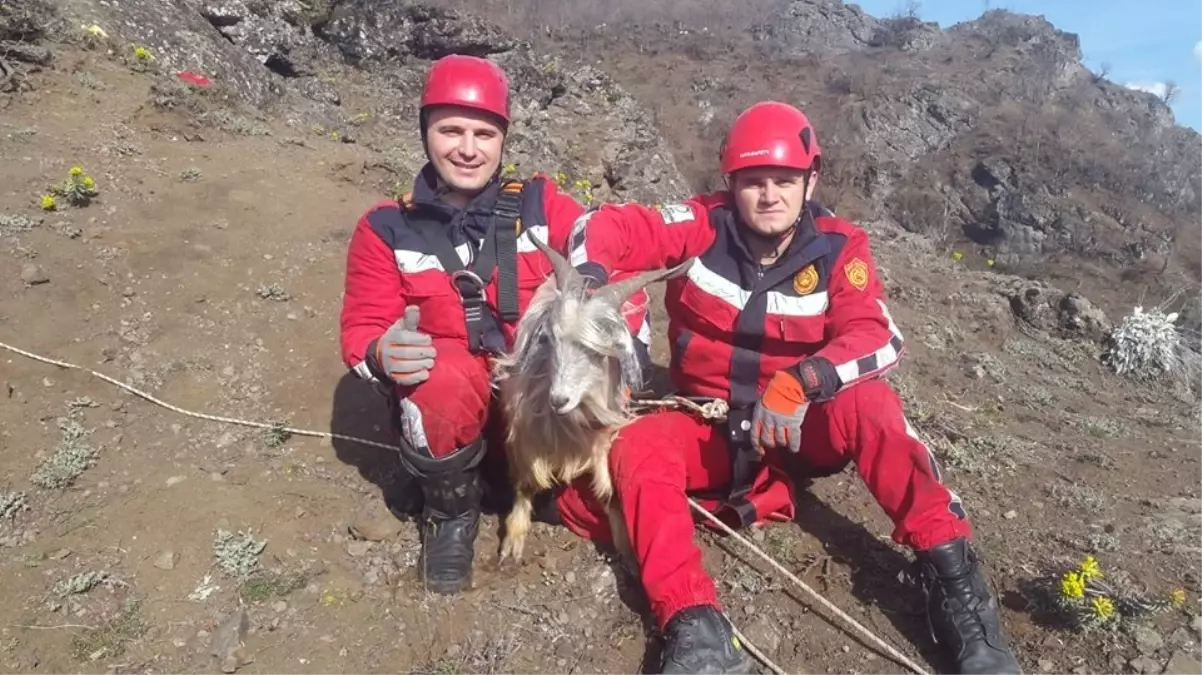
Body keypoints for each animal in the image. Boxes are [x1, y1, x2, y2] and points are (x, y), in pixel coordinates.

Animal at [490, 230, 697, 562]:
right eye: (549, 339)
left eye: (599, 351)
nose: (559, 399)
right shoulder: (522, 431)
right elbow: (525, 483)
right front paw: (514, 540)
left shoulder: (602, 435)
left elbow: (608, 490)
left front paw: (624, 544)